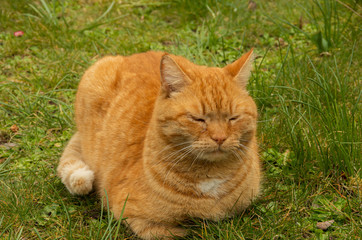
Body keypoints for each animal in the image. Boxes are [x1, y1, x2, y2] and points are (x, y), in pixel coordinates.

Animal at [57, 49, 260, 239]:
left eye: (233, 118)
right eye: (198, 119)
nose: (219, 138)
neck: (211, 177)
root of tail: (136, 55)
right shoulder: (131, 214)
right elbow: (175, 233)